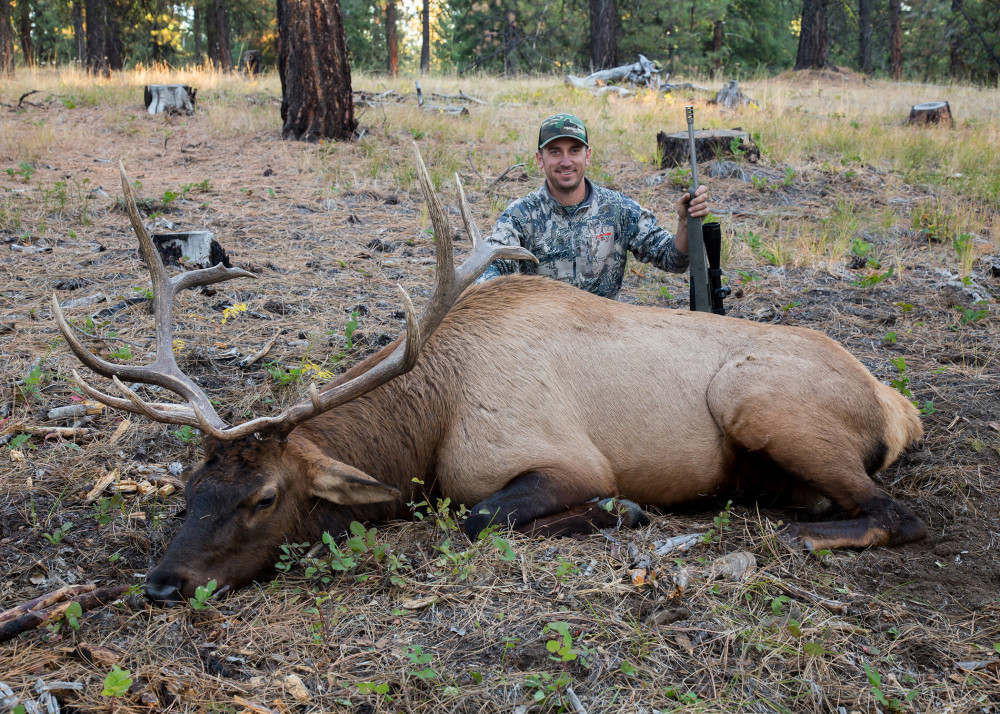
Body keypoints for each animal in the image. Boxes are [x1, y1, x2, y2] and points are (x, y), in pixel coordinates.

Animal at [56, 150, 920, 600]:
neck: (426, 426)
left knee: (897, 513)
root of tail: (895, 402)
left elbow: (478, 519)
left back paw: (803, 537)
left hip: (751, 399)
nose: (162, 582)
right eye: (190, 488)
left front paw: (622, 511)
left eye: (265, 497)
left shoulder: (562, 458)